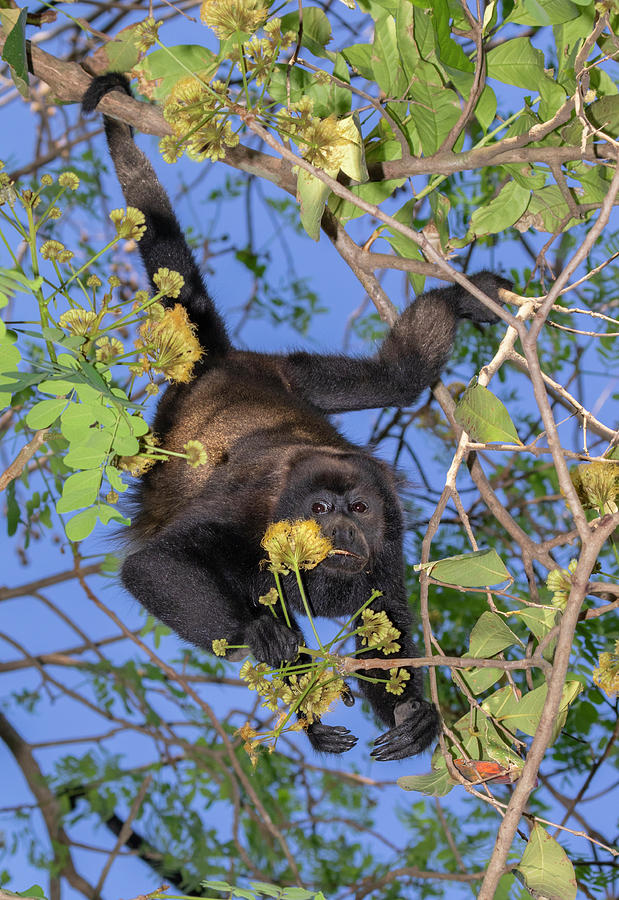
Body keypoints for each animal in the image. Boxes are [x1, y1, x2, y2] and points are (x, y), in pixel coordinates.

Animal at [81, 72, 508, 760]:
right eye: (318, 508)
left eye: (358, 508)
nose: (339, 528)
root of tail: (220, 364)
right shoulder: (249, 509)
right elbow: (151, 566)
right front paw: (265, 641)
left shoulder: (389, 539)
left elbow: (384, 621)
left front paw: (414, 714)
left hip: (291, 376)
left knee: (398, 377)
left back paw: (456, 301)